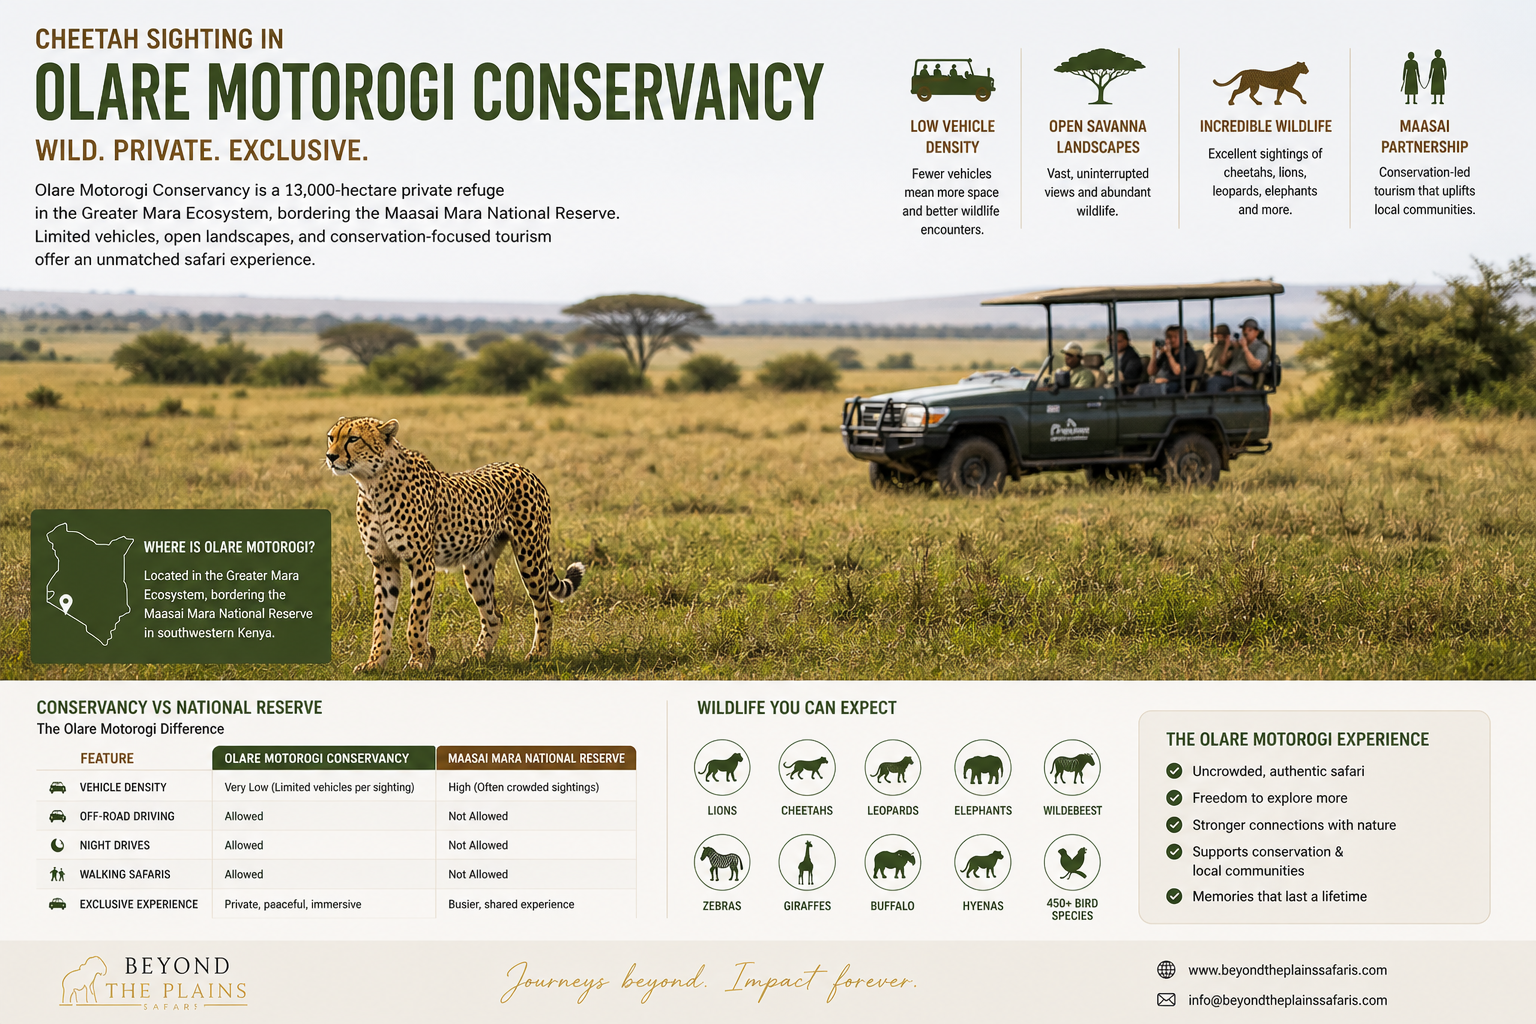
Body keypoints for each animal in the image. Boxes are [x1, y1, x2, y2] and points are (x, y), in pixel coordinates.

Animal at [325, 416, 584, 670]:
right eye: (331, 437)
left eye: (353, 438)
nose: (330, 456)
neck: (372, 484)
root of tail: (523, 468)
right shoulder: (383, 562)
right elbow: (382, 618)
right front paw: (376, 661)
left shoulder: (422, 562)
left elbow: (417, 617)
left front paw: (420, 659)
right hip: (477, 568)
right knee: (494, 616)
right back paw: (478, 657)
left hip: (530, 555)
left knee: (545, 608)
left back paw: (539, 654)